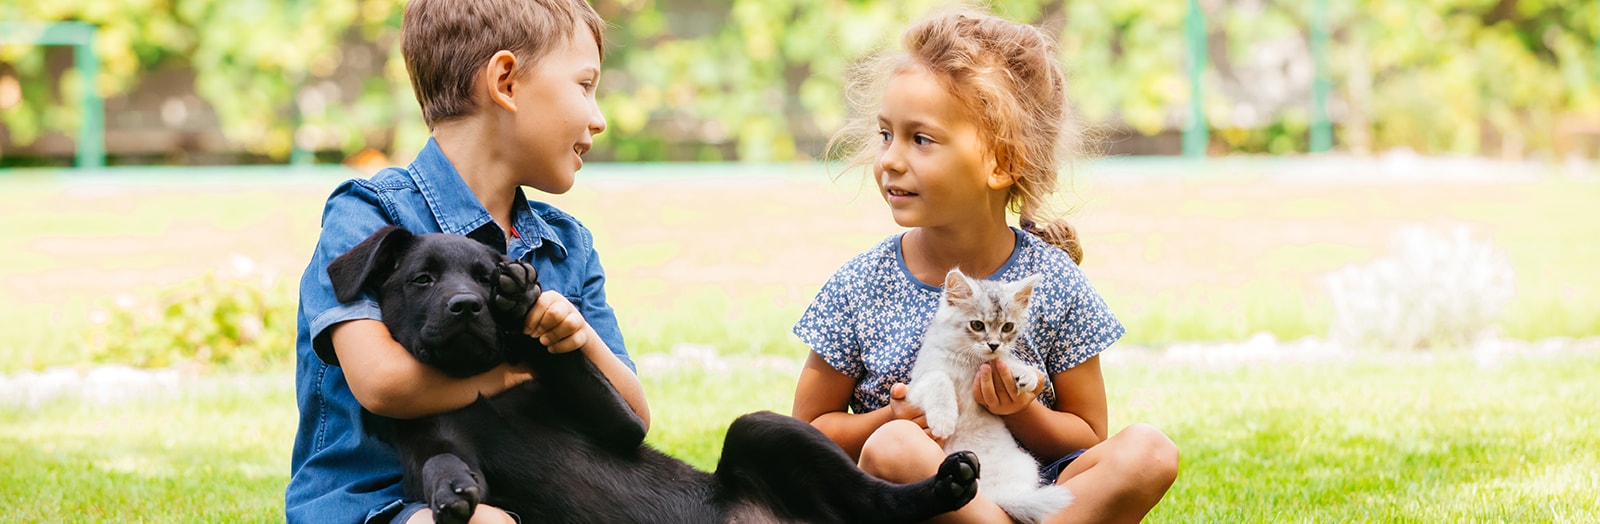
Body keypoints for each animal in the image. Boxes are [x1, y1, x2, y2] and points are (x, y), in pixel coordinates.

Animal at [326, 226, 979, 524]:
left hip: (765, 429)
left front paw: (524, 305)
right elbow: (442, 461)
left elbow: (568, 362)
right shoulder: (420, 445)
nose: (468, 307)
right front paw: (452, 489)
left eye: (484, 278)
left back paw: (943, 484)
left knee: (878, 501)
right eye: (422, 279)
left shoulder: (615, 424)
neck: (477, 388)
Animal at [908, 269, 1068, 524]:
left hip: (1026, 465)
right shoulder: (918, 382)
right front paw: (943, 420)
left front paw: (1025, 373)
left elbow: (1002, 360)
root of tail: (991, 495)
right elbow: (939, 380)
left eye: (1007, 327)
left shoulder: (992, 361)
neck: (968, 361)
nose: (993, 344)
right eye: (977, 324)